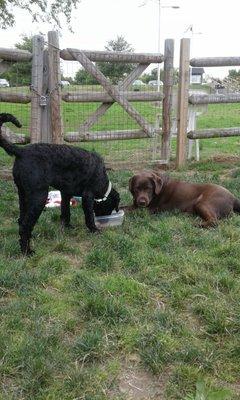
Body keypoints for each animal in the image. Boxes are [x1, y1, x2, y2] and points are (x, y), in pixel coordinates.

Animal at [0, 112, 120, 256]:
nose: (105, 220)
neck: (102, 181)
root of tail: (21, 151)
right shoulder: (87, 196)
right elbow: (89, 216)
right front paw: (94, 230)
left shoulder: (66, 193)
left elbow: (65, 211)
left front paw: (67, 226)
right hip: (39, 197)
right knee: (25, 226)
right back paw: (27, 251)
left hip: (22, 194)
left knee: (21, 220)